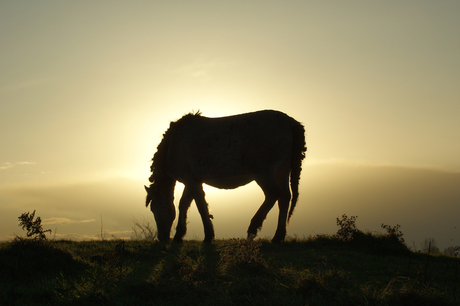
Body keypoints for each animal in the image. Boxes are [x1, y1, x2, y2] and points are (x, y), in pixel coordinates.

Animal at [144, 109, 306, 241]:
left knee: (274, 193)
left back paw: (253, 228)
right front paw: (179, 235)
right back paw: (278, 236)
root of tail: (290, 123)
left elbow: (200, 206)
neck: (173, 143)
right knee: (285, 197)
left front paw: (208, 235)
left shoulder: (191, 181)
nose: (161, 238)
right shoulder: (192, 180)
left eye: (153, 208)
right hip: (282, 170)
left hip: (263, 173)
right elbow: (184, 204)